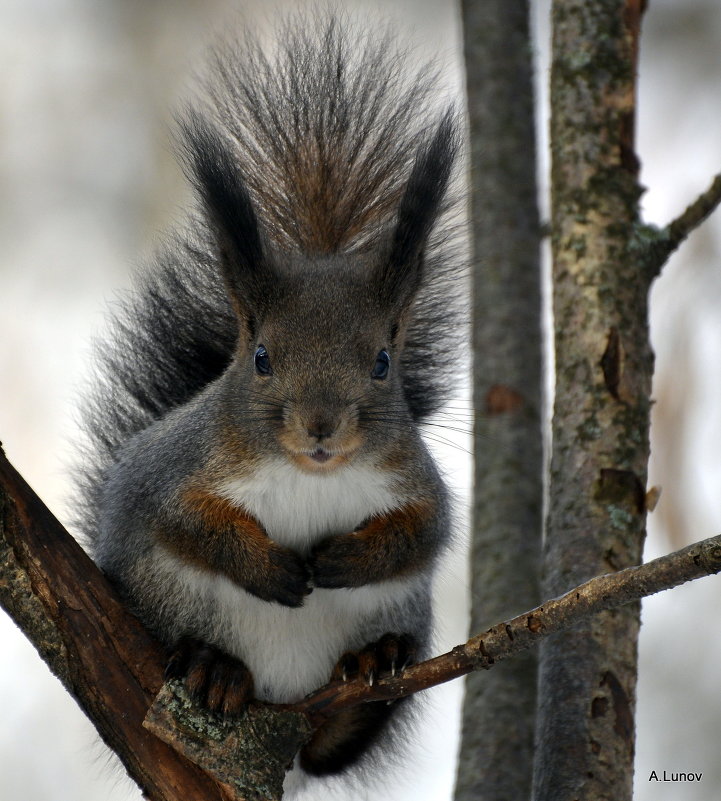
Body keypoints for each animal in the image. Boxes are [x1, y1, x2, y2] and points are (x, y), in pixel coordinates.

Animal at [77, 14, 462, 792]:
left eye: (383, 362)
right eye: (260, 358)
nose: (321, 428)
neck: (310, 475)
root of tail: (284, 707)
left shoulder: (417, 480)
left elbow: (425, 532)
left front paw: (348, 559)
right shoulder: (169, 471)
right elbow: (185, 521)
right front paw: (268, 567)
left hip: (399, 623)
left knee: (334, 744)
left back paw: (370, 670)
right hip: (160, 609)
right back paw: (213, 668)